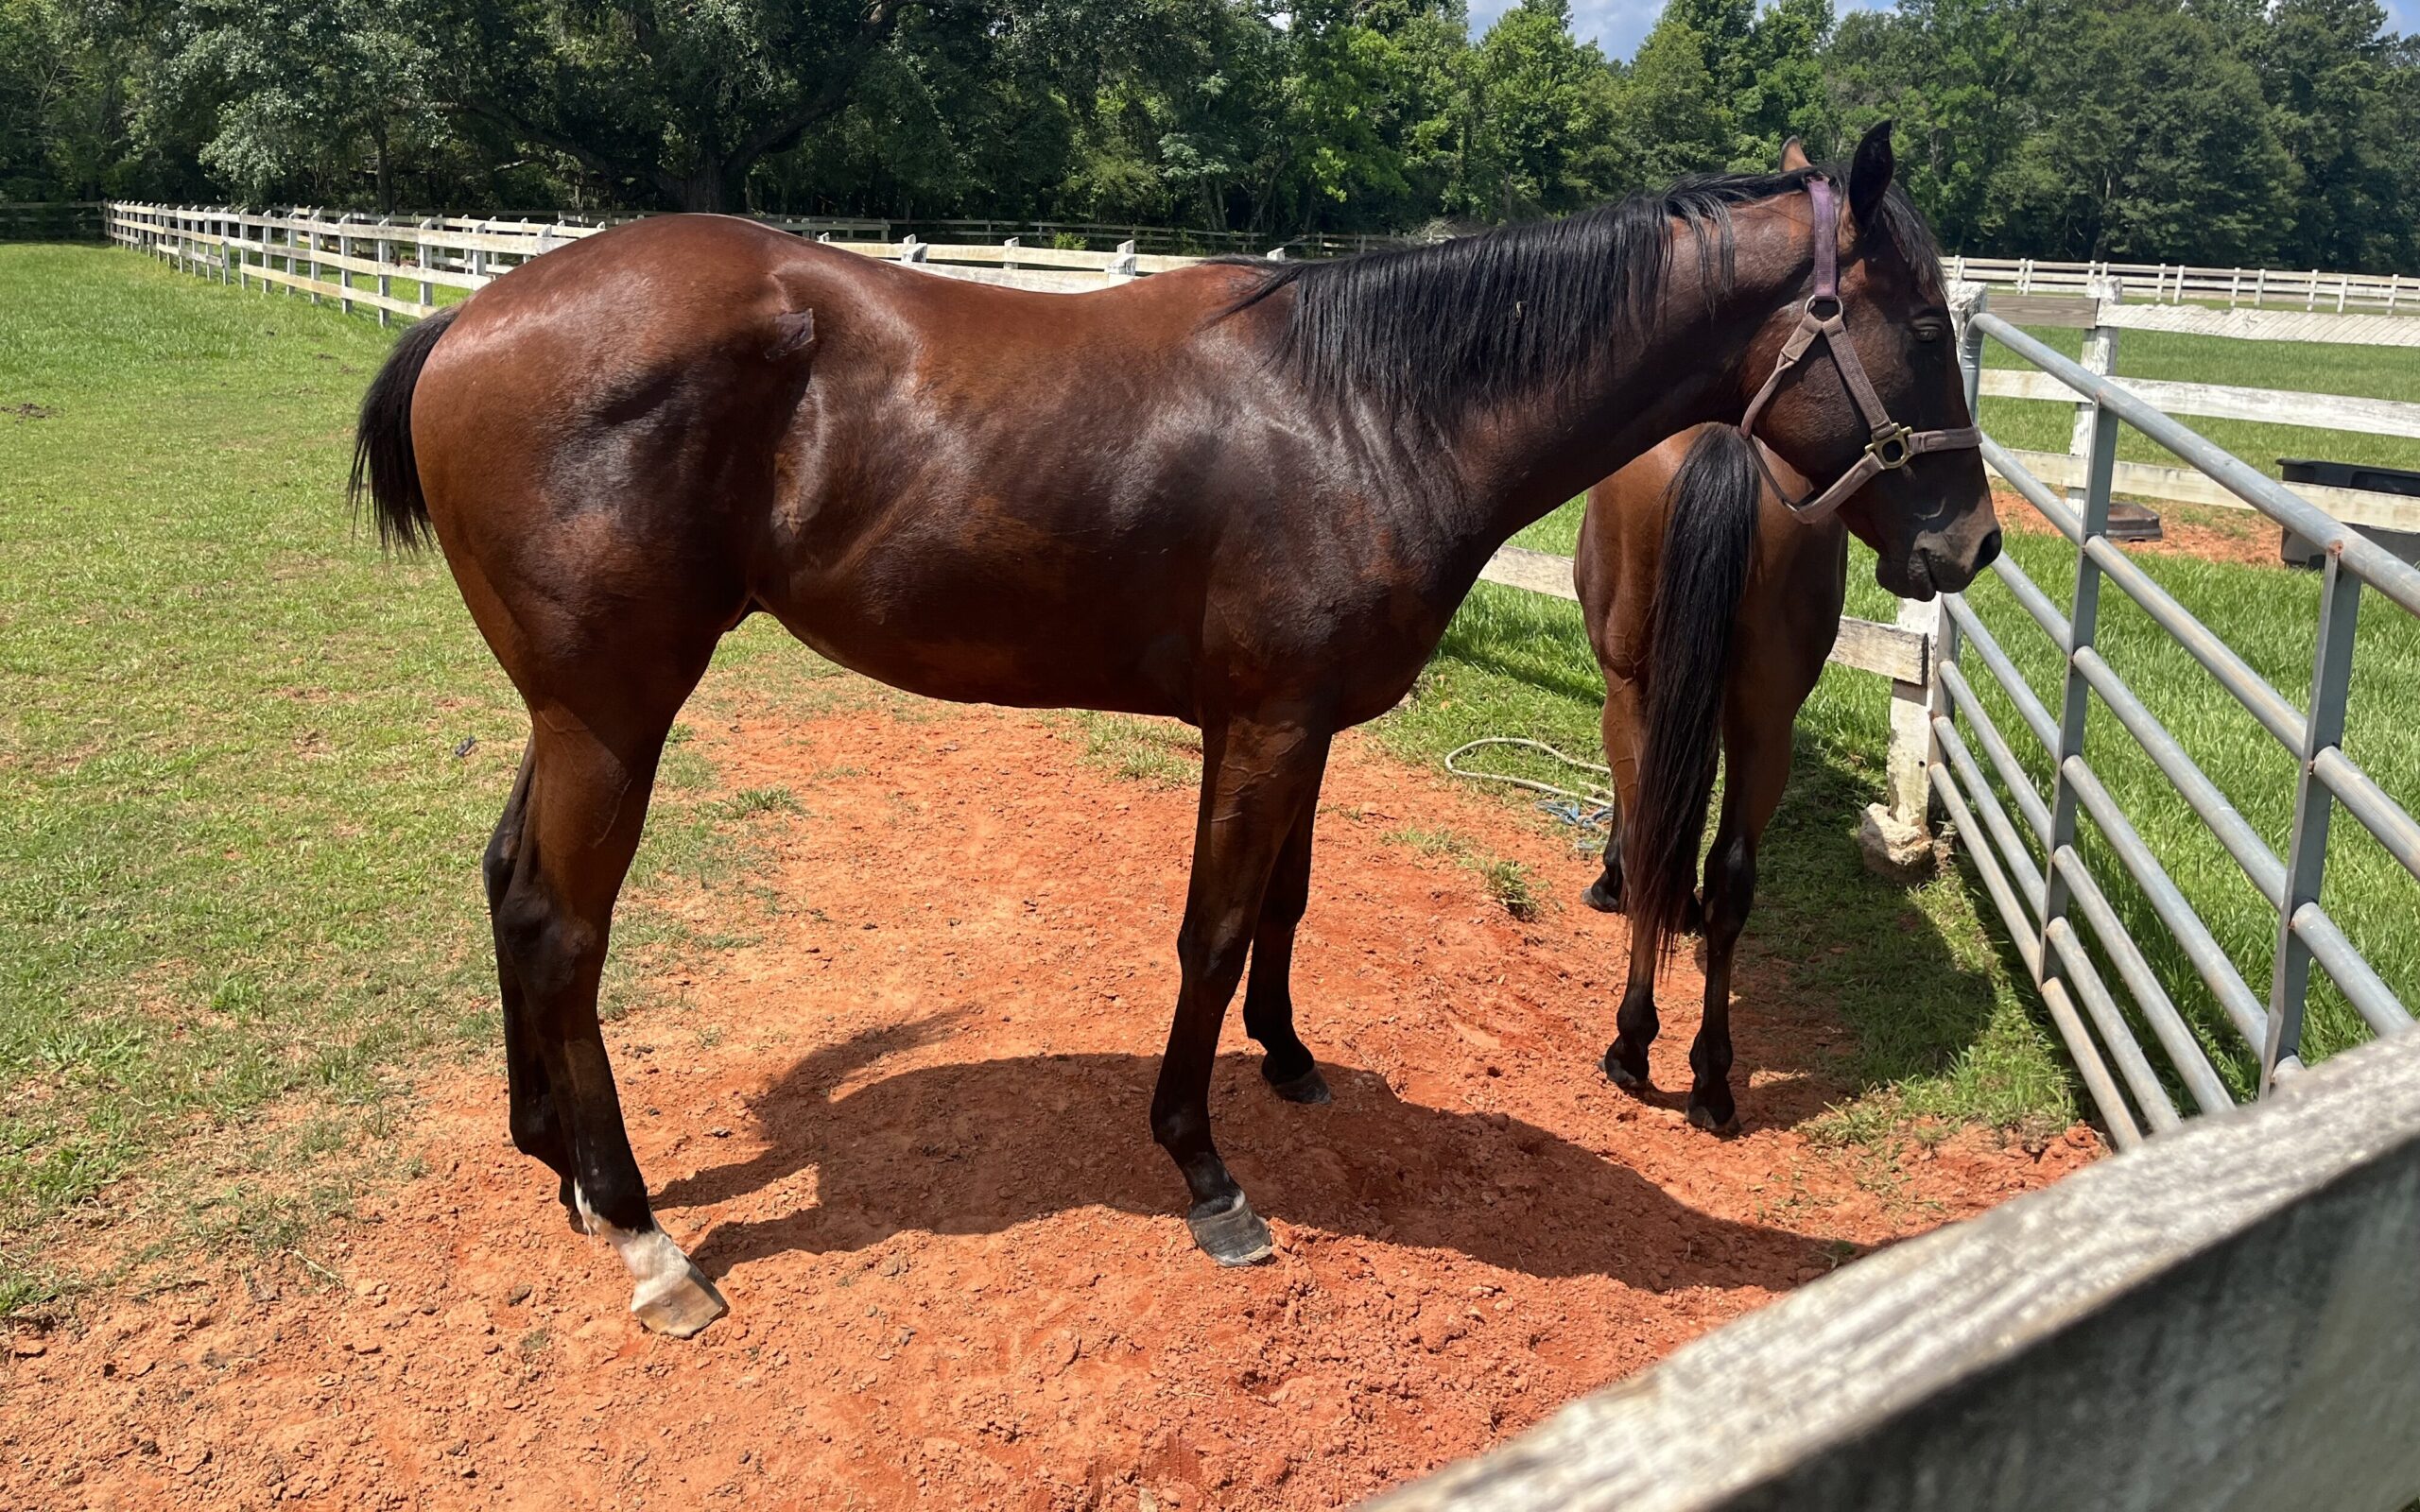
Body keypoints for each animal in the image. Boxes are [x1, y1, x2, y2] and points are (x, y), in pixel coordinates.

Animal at [1578, 428, 1839, 1132]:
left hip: (1637, 686)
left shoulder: (1626, 688)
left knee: (1651, 836)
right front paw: (1683, 903)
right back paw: (1713, 1084)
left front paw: (1612, 881)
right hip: (1767, 717)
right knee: (1732, 877)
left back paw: (1631, 1047)